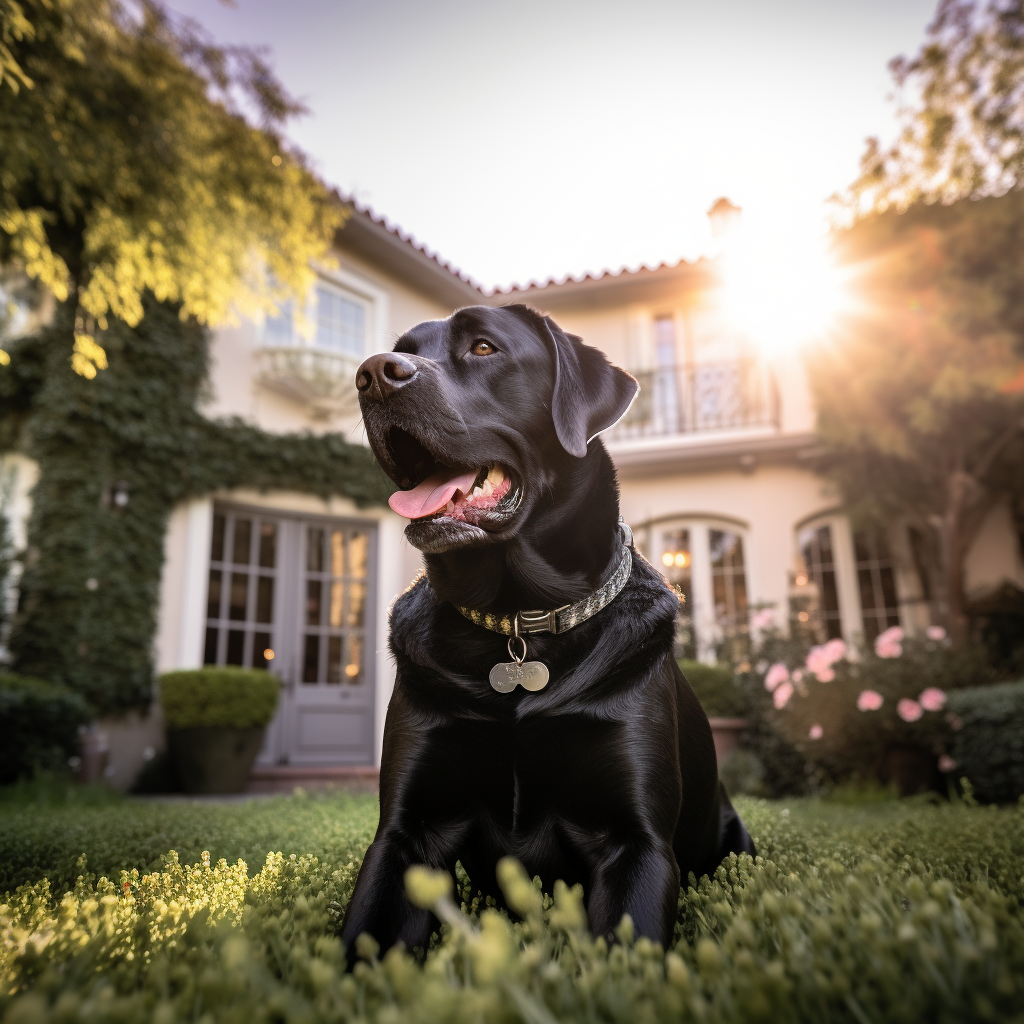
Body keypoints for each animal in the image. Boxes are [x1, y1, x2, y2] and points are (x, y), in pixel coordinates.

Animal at [342, 303, 753, 958]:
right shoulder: (405, 833)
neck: (519, 622)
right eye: (401, 349)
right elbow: (361, 947)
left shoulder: (636, 840)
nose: (373, 375)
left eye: (484, 347)